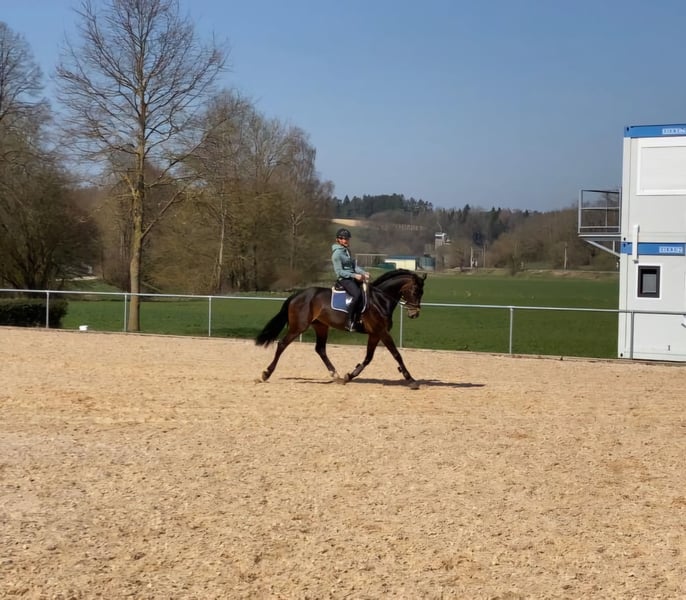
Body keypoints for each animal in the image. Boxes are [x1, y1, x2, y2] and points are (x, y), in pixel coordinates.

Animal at [255, 269, 427, 388]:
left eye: (422, 292)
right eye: (414, 291)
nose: (414, 314)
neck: (380, 300)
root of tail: (297, 295)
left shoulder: (375, 334)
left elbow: (368, 358)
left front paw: (349, 376)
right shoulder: (382, 332)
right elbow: (397, 355)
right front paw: (411, 380)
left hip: (321, 326)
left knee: (320, 349)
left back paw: (335, 375)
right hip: (299, 327)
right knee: (282, 344)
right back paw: (266, 374)